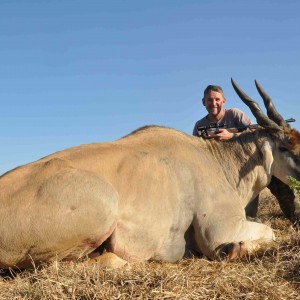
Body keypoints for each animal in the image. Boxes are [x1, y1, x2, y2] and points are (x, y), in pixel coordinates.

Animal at [0, 78, 300, 268]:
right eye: (284, 146)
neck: (218, 160)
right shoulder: (219, 232)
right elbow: (268, 233)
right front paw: (234, 250)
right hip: (102, 210)